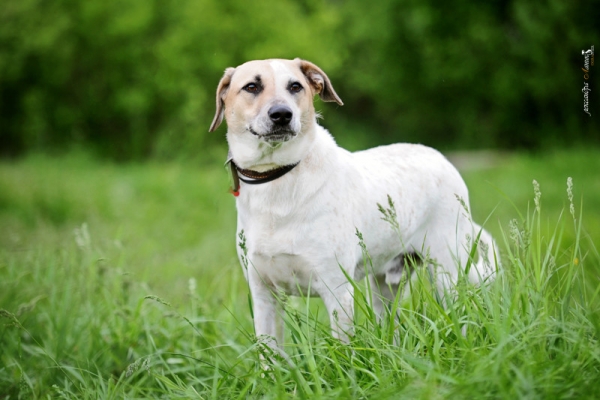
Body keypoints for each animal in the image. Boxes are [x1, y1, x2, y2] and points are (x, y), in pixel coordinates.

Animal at [209, 58, 497, 346]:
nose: (282, 114)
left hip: (446, 274)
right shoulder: (263, 294)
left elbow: (342, 347)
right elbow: (269, 352)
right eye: (252, 87)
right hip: (384, 286)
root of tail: (441, 157)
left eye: (295, 87)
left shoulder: (336, 290)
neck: (277, 175)